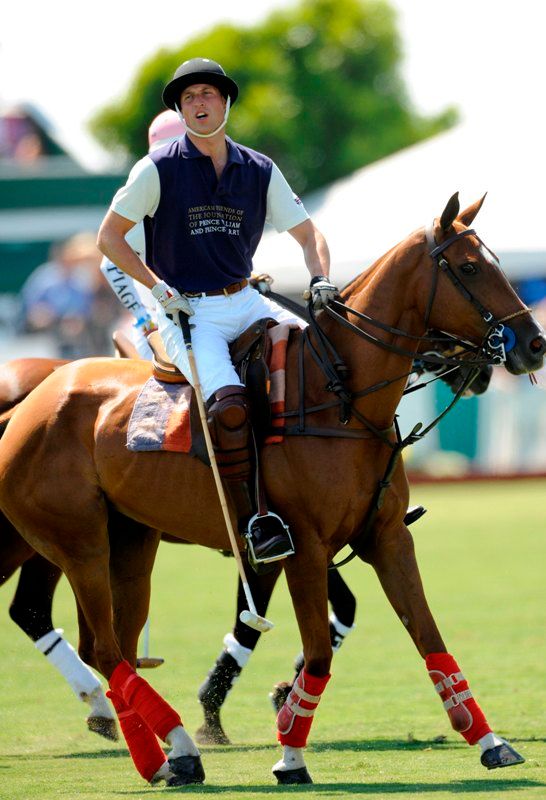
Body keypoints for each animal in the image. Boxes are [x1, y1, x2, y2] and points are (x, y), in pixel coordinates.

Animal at [0, 195, 540, 788]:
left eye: (495, 262)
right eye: (469, 268)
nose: (533, 345)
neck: (342, 397)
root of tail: (24, 408)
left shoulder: (387, 537)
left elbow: (429, 637)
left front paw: (491, 741)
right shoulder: (300, 547)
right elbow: (317, 649)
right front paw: (290, 754)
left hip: (131, 541)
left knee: (111, 642)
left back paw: (173, 750)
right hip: (76, 543)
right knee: (95, 640)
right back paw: (160, 749)